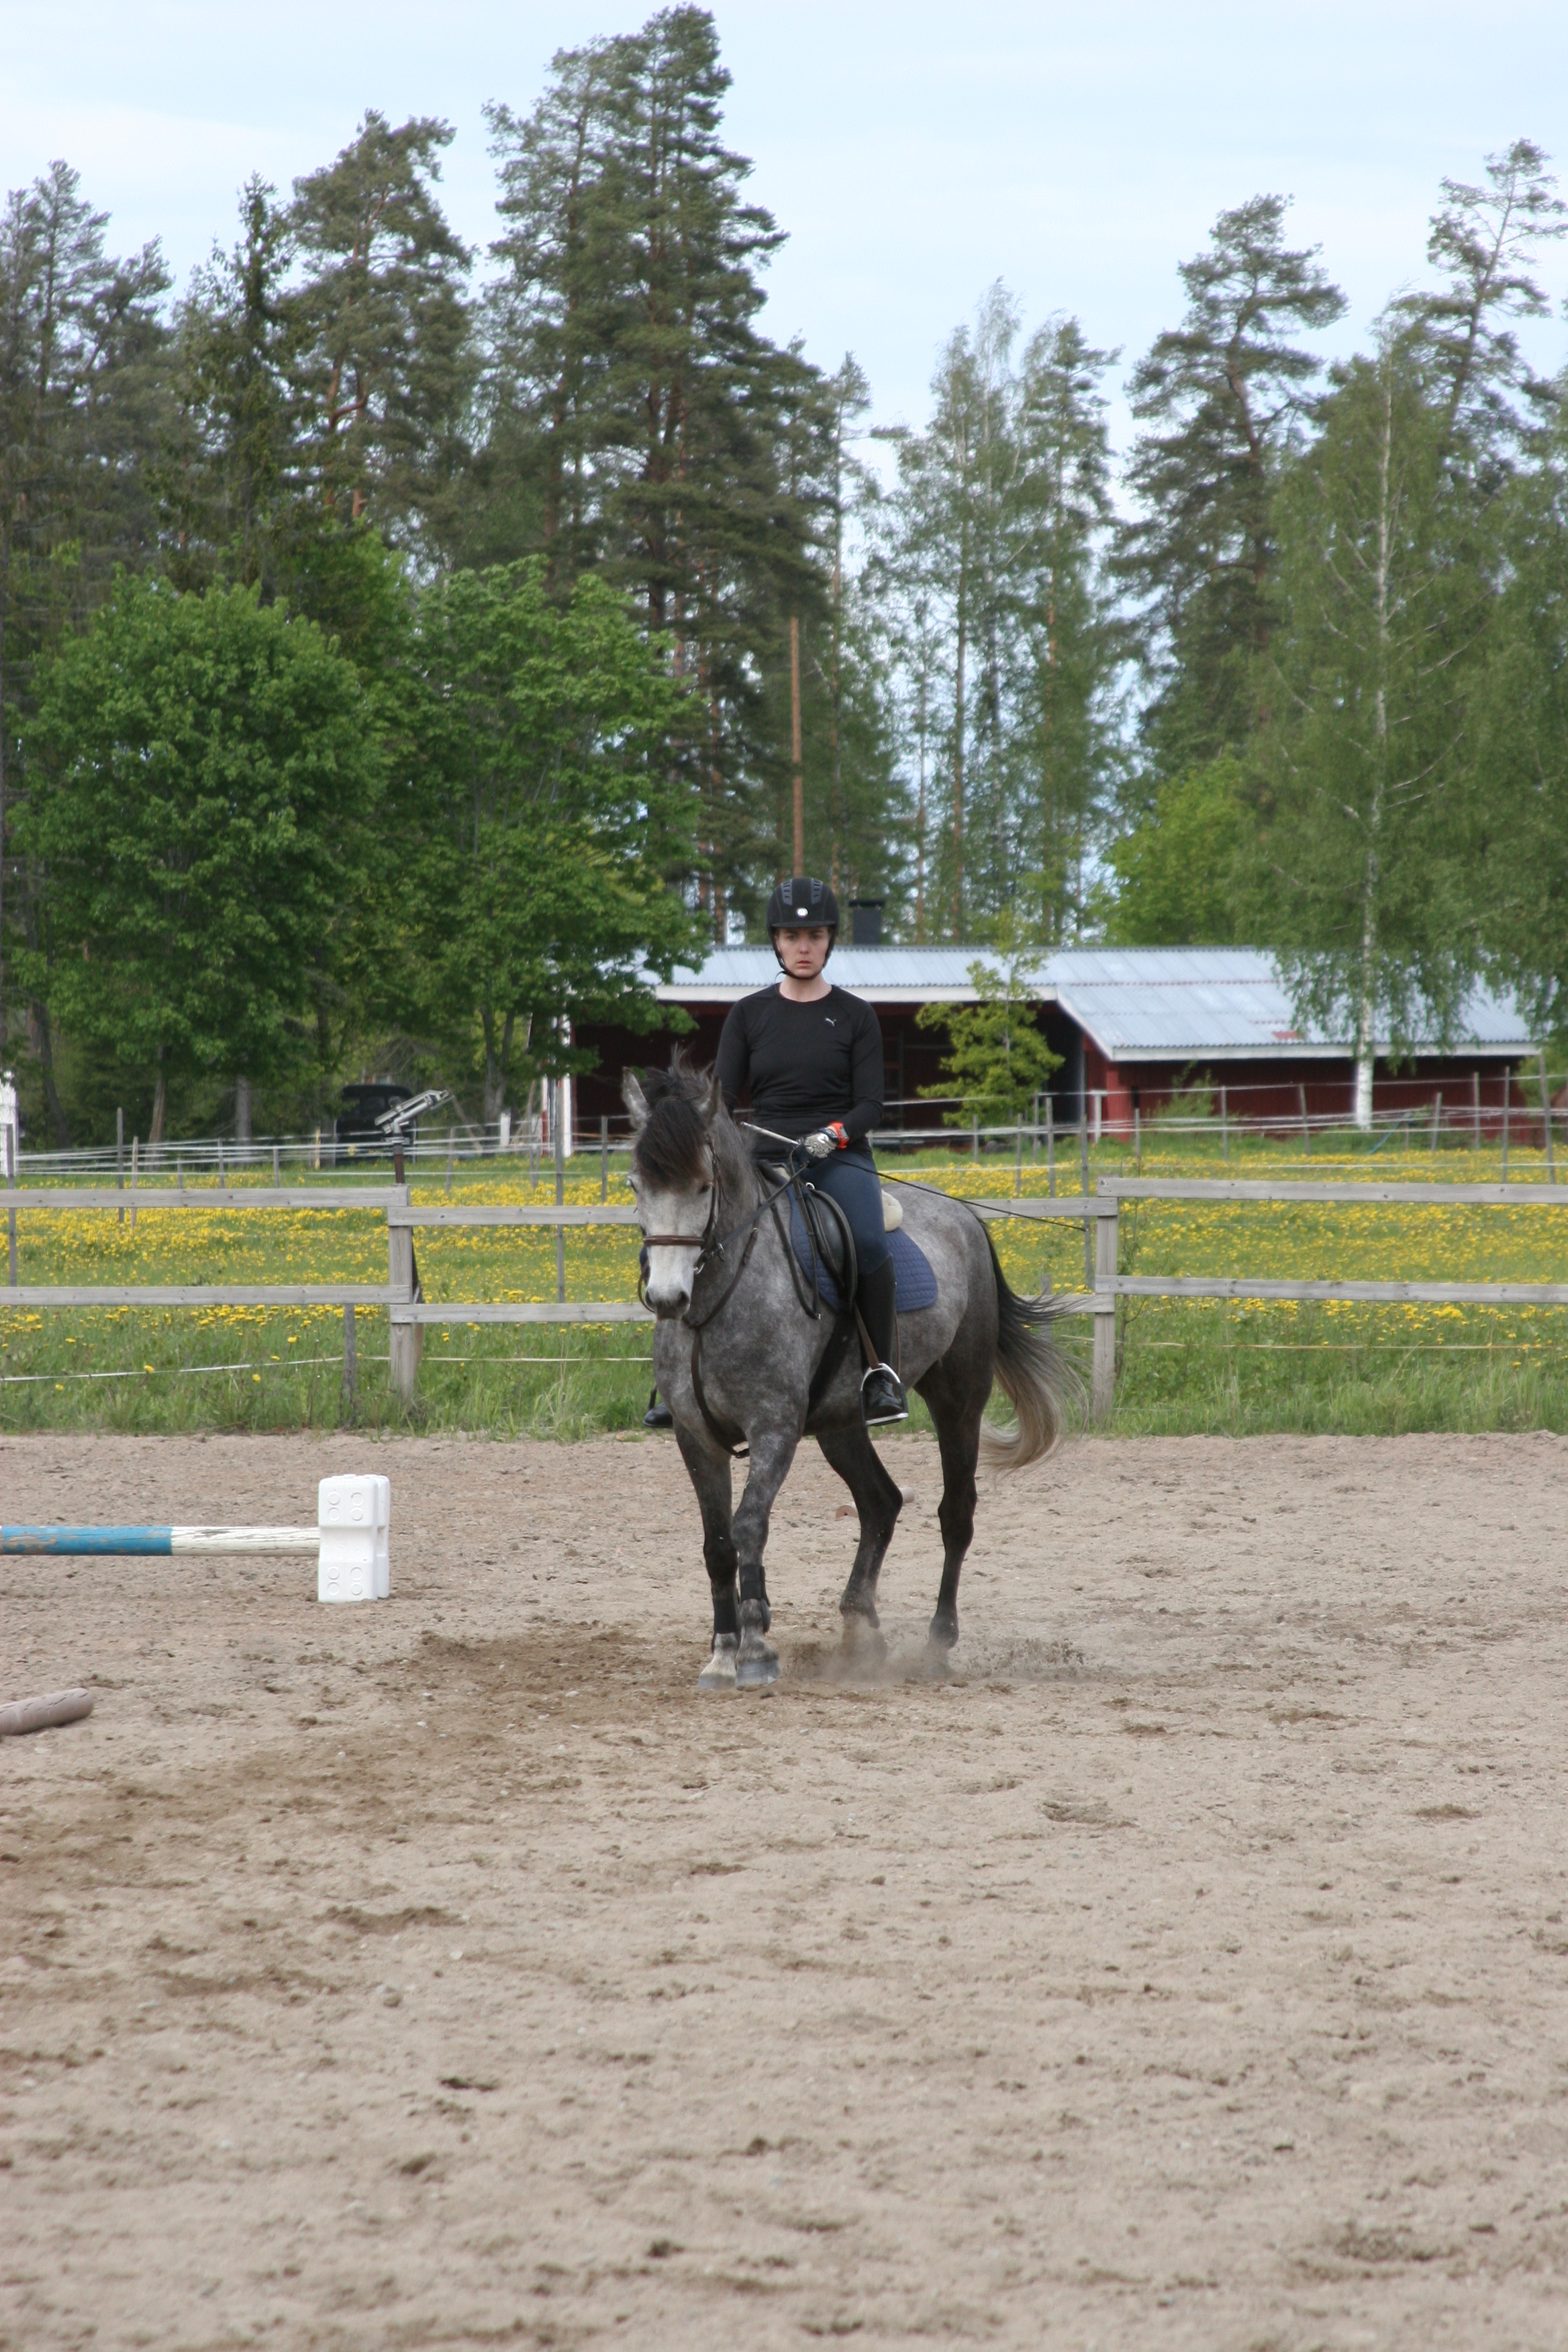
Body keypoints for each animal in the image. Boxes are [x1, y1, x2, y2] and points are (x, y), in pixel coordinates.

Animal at [624, 1057, 1080, 1690]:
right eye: (636, 1186)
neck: (719, 1300)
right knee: (880, 1502)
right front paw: (721, 1654)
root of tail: (964, 1216)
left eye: (703, 1186)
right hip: (841, 1423)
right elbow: (717, 1543)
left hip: (958, 1398)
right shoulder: (696, 1436)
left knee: (956, 1514)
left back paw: (937, 1644)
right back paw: (861, 1630)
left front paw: (757, 1649)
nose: (668, 1299)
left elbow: (748, 1526)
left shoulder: (774, 1429)